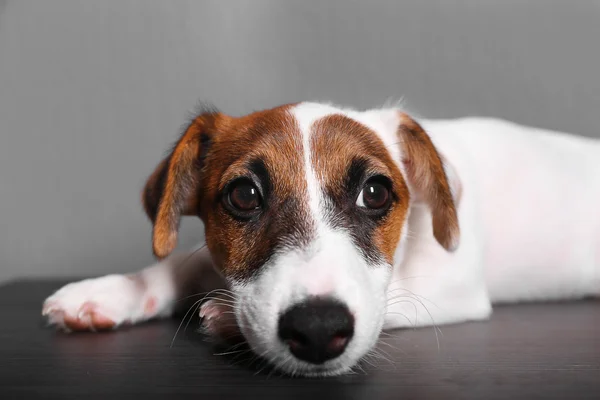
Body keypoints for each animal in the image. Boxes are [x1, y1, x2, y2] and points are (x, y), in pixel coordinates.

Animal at [42, 101, 600, 376]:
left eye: (376, 192)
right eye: (243, 195)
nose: (315, 330)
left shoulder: (454, 287)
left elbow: (389, 300)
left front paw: (225, 317)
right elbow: (181, 263)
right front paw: (114, 291)